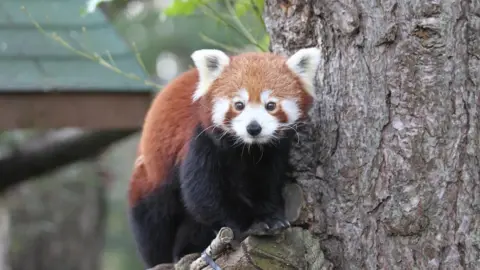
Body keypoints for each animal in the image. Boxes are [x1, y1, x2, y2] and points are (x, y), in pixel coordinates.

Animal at [128, 46, 322, 266]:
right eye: (239, 105)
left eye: (270, 105)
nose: (253, 128)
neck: (247, 147)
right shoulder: (201, 138)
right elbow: (203, 194)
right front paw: (252, 223)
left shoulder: (271, 152)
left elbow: (265, 184)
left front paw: (270, 216)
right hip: (151, 179)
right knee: (154, 218)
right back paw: (166, 257)